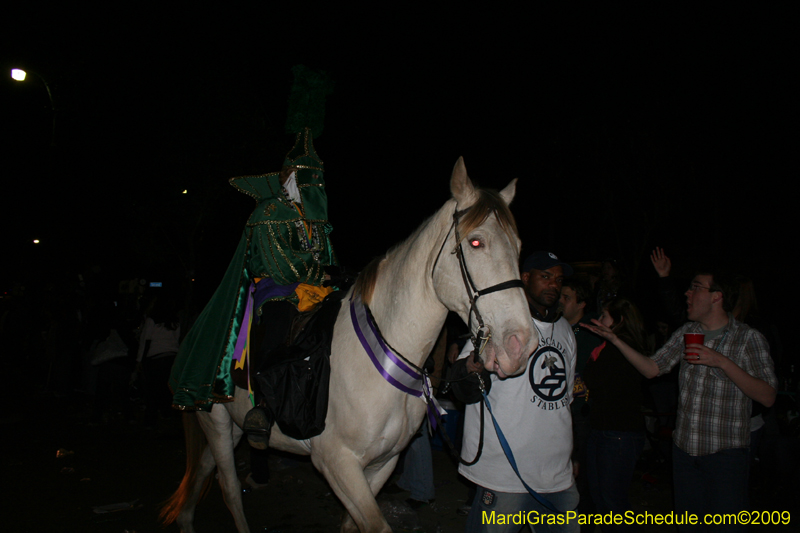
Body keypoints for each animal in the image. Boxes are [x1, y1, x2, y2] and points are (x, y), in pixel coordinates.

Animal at [160, 159, 536, 532]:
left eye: (518, 246)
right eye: (476, 242)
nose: (521, 345)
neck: (381, 356)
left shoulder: (382, 463)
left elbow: (352, 525)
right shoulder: (337, 463)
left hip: (231, 426)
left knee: (202, 473)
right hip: (217, 422)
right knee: (228, 488)